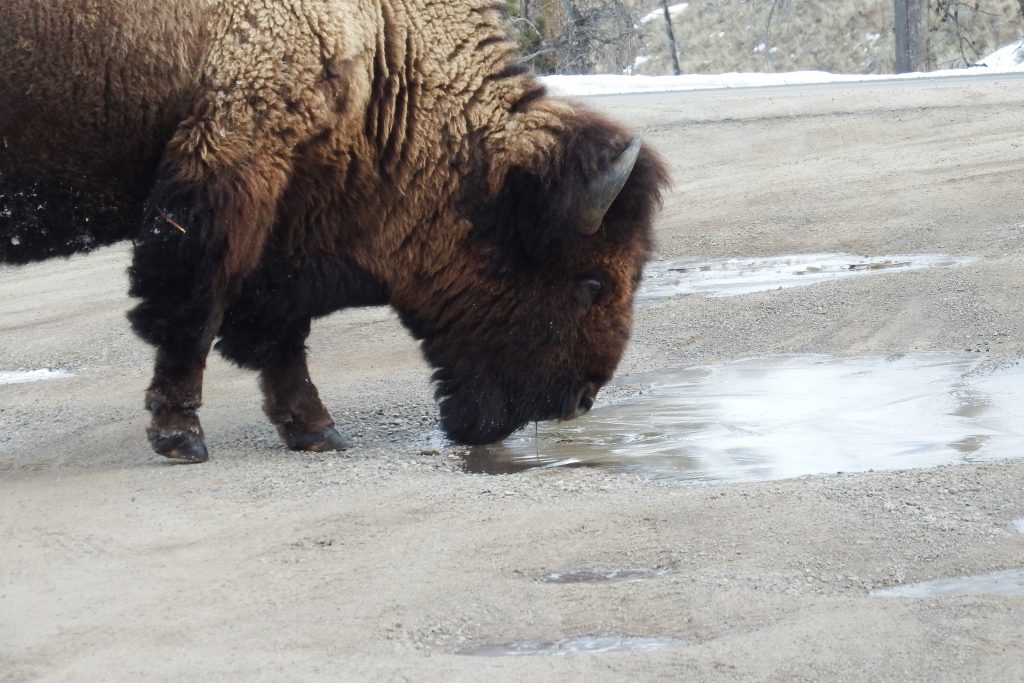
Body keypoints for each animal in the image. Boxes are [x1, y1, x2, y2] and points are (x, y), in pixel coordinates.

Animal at [0, 0, 667, 462]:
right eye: (591, 284)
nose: (579, 401)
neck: (381, 48)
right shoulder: (226, 175)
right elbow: (193, 311)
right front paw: (181, 438)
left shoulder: (286, 219)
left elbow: (279, 332)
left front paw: (318, 432)